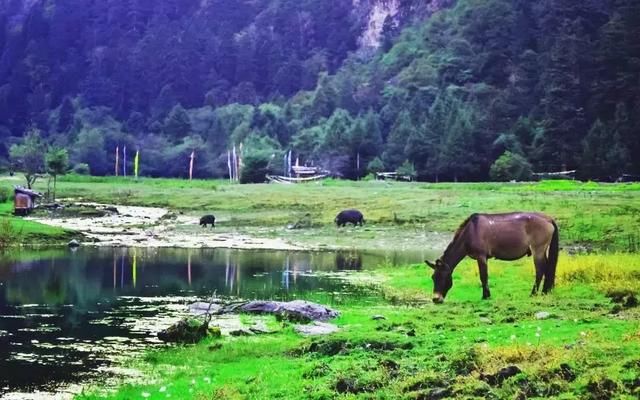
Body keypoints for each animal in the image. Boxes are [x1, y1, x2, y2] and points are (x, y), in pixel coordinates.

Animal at [428, 212, 556, 304]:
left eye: (443, 277)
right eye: (433, 278)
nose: (436, 299)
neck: (470, 231)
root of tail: (548, 219)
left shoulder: (481, 256)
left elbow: (483, 276)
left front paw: (486, 296)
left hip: (538, 250)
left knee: (540, 270)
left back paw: (533, 294)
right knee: (547, 268)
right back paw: (545, 292)